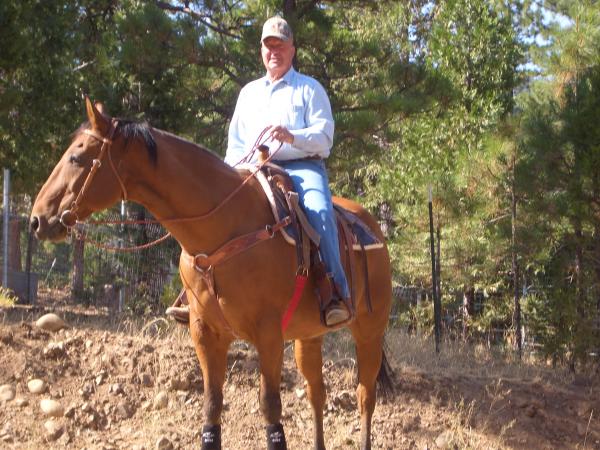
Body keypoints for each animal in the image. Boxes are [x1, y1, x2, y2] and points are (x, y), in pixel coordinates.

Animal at [30, 98, 394, 450]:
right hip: (309, 335)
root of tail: (371, 226)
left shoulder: (269, 334)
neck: (226, 227)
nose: (37, 219)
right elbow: (212, 406)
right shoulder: (205, 332)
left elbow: (270, 407)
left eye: (77, 157)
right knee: (317, 392)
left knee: (365, 396)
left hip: (369, 331)